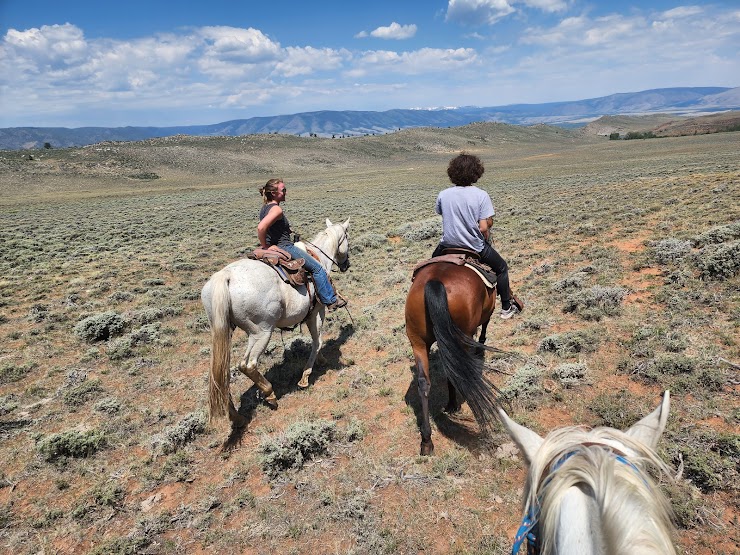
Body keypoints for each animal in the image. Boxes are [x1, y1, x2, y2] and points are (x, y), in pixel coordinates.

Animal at [201, 217, 352, 426]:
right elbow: (318, 340)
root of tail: (226, 276)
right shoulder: (317, 312)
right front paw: (306, 375)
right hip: (261, 332)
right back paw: (270, 394)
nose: (346, 265)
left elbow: (317, 340)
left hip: (224, 331)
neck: (319, 258)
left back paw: (235, 416)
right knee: (247, 365)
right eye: (347, 238)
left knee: (221, 373)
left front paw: (319, 361)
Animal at [404, 262, 502, 456]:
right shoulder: (489, 311)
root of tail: (435, 281)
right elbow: (485, 326)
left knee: (424, 382)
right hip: (459, 336)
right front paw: (481, 347)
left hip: (418, 342)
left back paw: (427, 440)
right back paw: (454, 405)